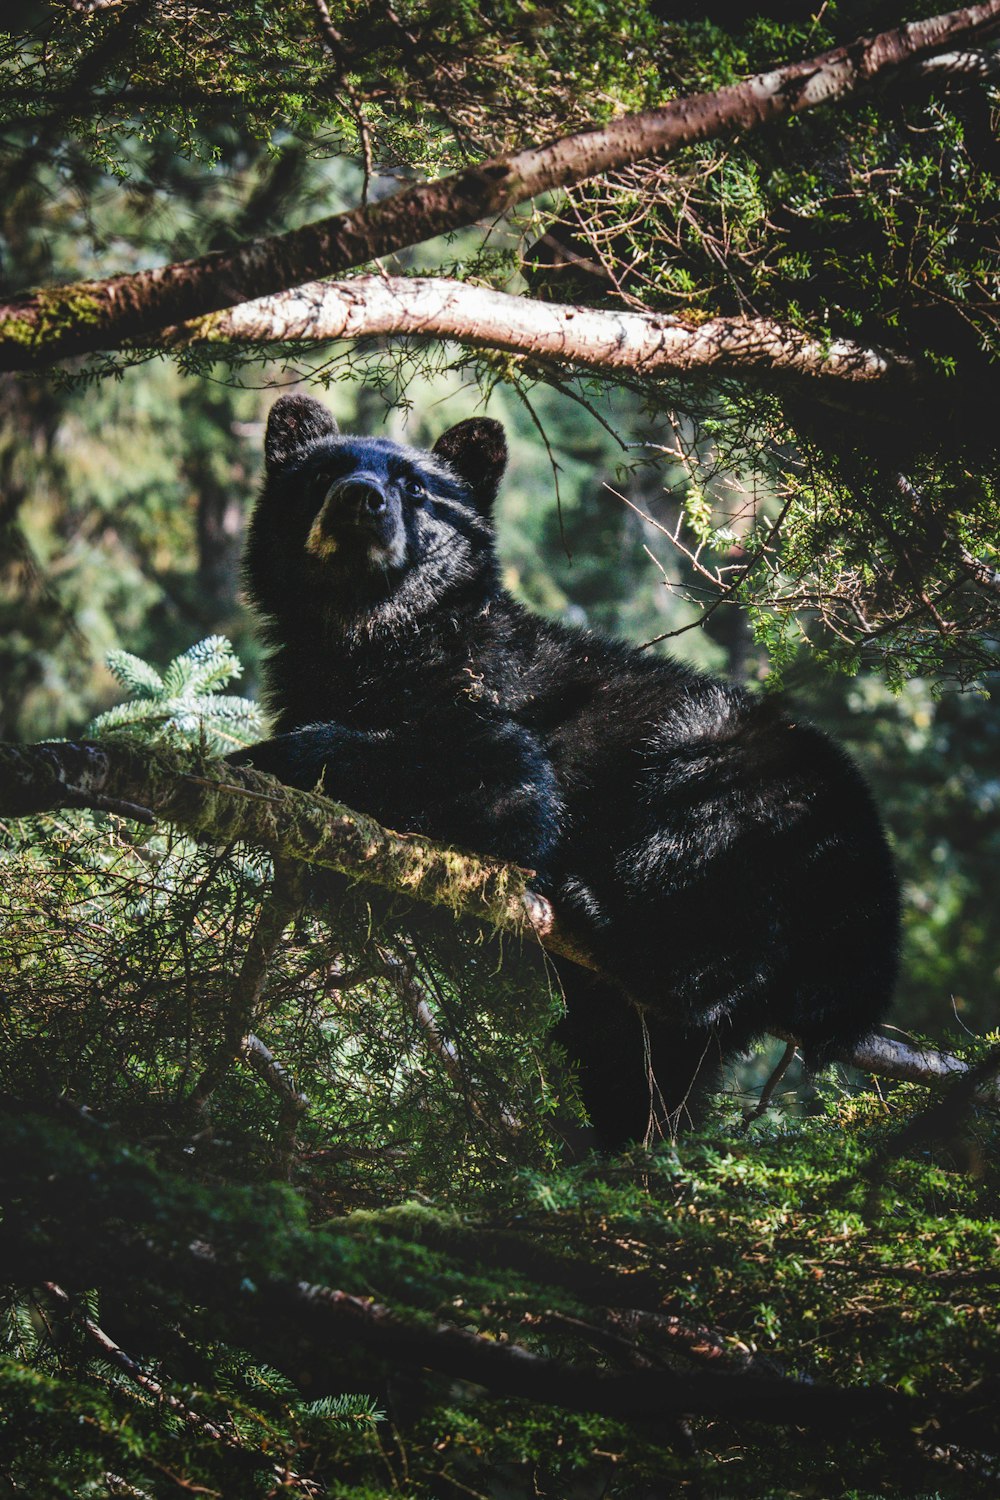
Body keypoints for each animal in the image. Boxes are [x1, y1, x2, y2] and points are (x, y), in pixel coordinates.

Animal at [232, 393, 899, 1140]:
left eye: (417, 488)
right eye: (322, 473)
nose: (360, 499)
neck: (372, 637)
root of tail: (880, 905)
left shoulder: (486, 692)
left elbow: (503, 784)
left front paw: (260, 755)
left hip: (731, 783)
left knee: (703, 888)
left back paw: (602, 915)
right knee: (644, 1075)